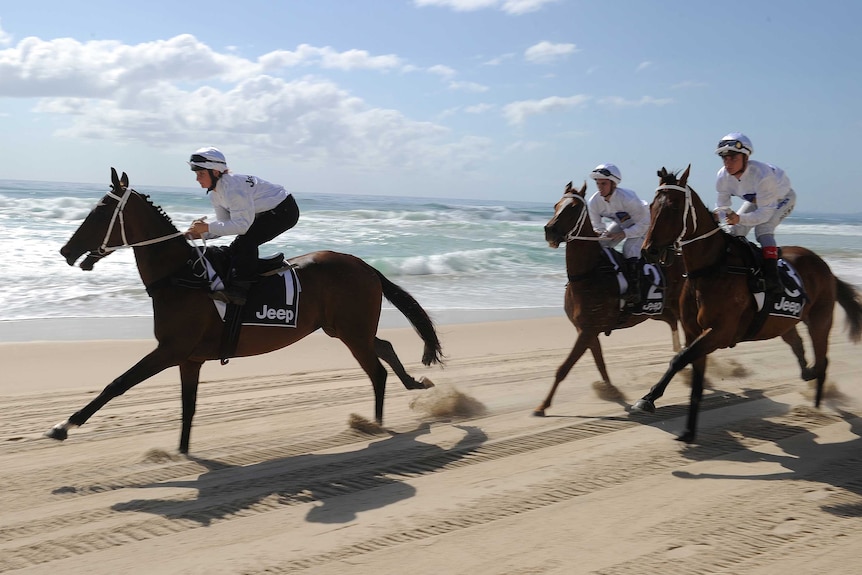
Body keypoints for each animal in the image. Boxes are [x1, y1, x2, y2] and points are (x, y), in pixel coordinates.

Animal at [45, 169, 446, 452]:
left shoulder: (170, 350)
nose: (66, 250)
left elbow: (117, 384)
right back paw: (414, 384)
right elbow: (188, 408)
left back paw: (378, 424)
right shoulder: (189, 359)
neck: (180, 276)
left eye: (99, 211)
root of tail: (366, 266)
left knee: (377, 372)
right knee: (385, 347)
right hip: (346, 328)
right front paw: (182, 452)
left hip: (351, 332)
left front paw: (63, 426)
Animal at [532, 182, 688, 416]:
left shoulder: (588, 330)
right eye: (556, 205)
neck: (589, 272)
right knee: (674, 327)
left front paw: (542, 406)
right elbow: (600, 363)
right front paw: (613, 392)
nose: (549, 230)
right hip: (659, 311)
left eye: (574, 208)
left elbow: (564, 368)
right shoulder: (586, 329)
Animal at [636, 164, 862, 444]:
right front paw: (687, 430)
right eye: (652, 206)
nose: (649, 251)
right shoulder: (693, 331)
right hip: (783, 324)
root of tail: (826, 268)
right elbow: (694, 377)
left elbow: (679, 359)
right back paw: (808, 377)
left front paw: (649, 398)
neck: (712, 267)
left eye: (675, 207)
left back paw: (818, 405)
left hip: (821, 319)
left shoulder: (720, 332)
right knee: (799, 347)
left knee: (823, 360)